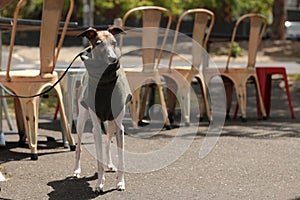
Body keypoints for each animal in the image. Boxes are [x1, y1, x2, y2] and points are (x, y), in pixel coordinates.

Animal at [73, 26, 131, 194]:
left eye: (114, 43)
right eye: (99, 43)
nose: (113, 59)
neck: (105, 81)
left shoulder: (119, 126)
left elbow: (121, 158)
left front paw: (120, 183)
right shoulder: (97, 127)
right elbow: (98, 162)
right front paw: (99, 184)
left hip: (111, 124)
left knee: (107, 143)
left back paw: (110, 164)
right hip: (81, 120)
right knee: (78, 147)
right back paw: (76, 171)